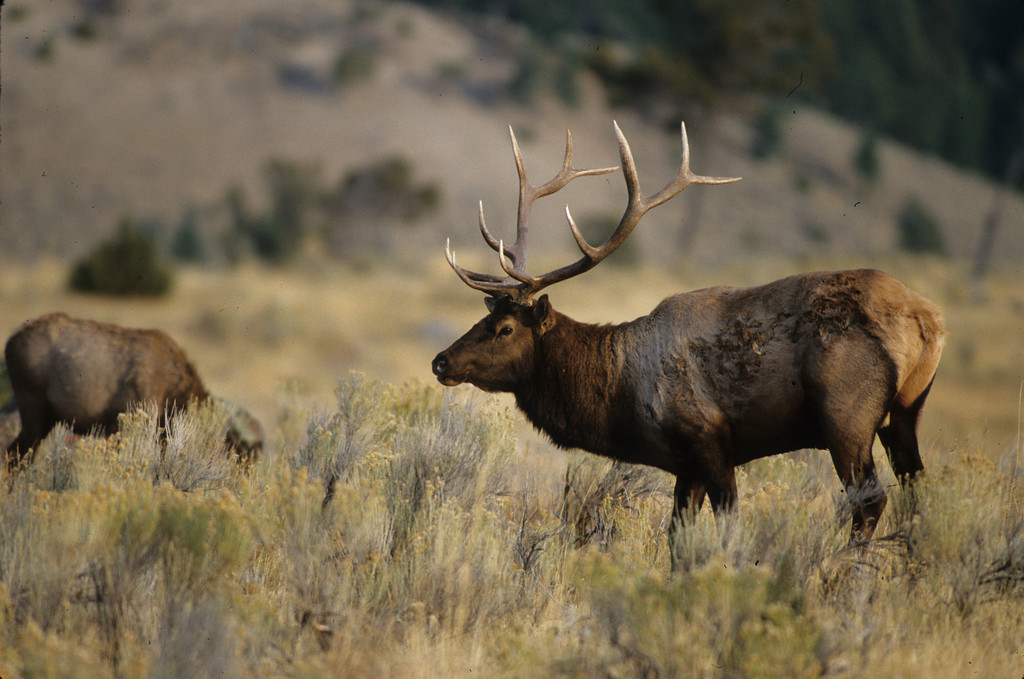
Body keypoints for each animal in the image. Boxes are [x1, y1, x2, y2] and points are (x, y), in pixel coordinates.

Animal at [431, 121, 946, 566]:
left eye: (505, 329)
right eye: (487, 318)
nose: (440, 362)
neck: (621, 395)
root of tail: (929, 318)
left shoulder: (710, 441)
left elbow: (727, 529)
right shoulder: (686, 465)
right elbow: (678, 541)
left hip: (846, 414)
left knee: (869, 502)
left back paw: (844, 577)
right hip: (904, 412)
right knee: (918, 492)